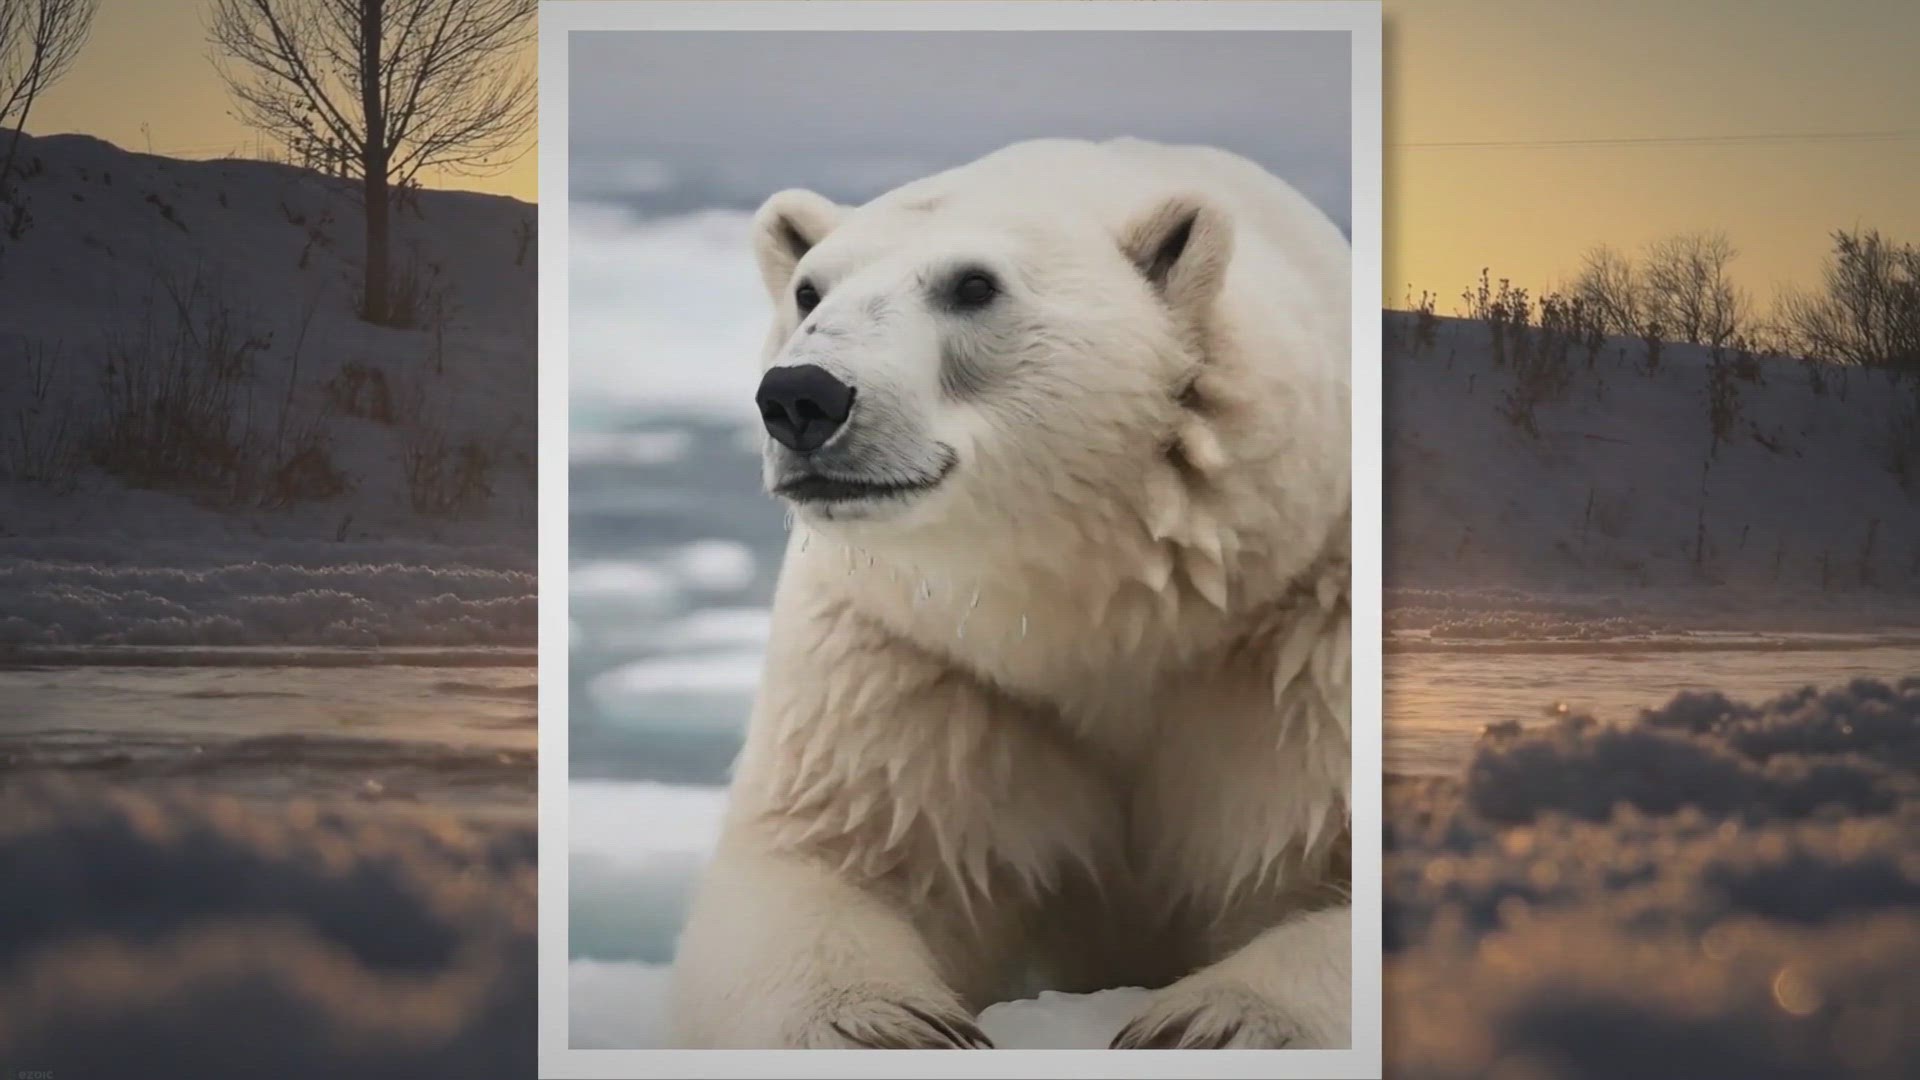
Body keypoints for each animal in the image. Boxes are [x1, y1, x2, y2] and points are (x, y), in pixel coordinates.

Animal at [668, 137, 1352, 1050]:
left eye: (973, 285)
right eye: (809, 289)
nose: (801, 396)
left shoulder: (1310, 642)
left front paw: (1210, 1022)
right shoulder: (910, 662)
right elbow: (822, 859)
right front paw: (891, 1027)